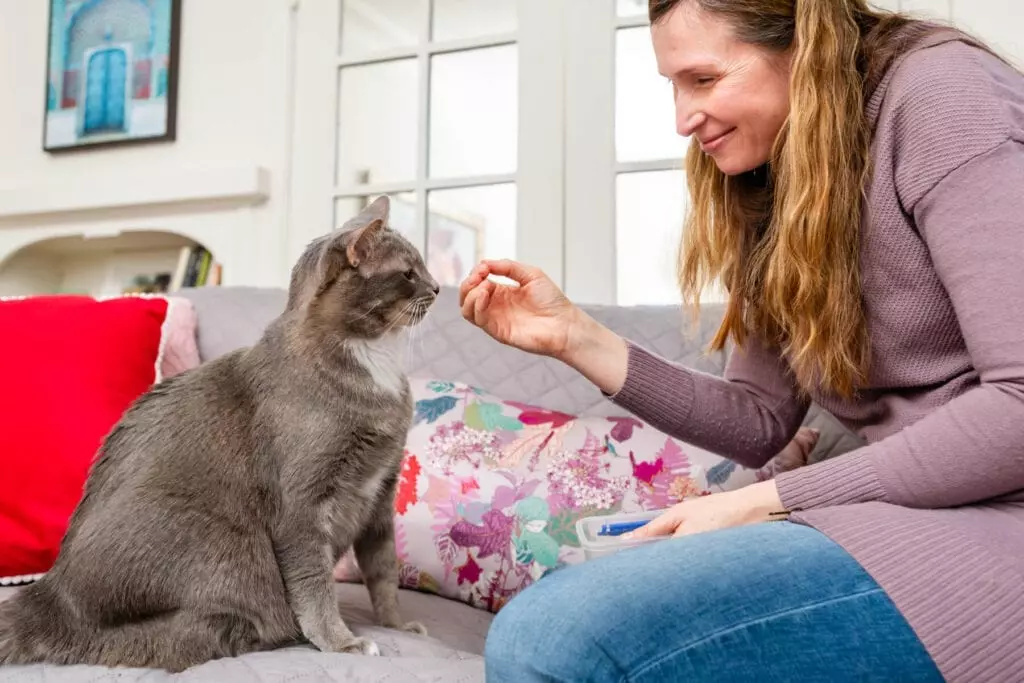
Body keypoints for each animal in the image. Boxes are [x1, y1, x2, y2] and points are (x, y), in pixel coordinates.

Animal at [0, 194, 436, 671]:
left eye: (422, 267)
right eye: (408, 273)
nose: (436, 287)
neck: (376, 363)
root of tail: (49, 592)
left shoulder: (380, 492)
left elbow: (383, 571)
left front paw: (397, 625)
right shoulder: (302, 504)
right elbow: (314, 582)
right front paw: (341, 642)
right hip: (229, 549)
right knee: (170, 640)